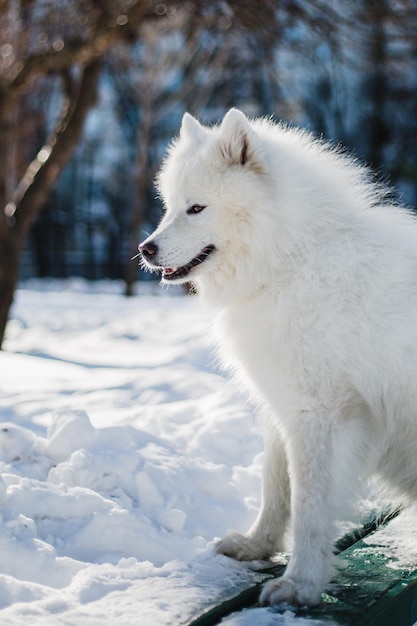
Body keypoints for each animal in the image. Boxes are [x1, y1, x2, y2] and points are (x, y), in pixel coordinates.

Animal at [138, 108, 416, 604]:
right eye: (169, 206)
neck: (291, 259)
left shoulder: (318, 414)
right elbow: (275, 489)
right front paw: (257, 546)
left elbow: (308, 505)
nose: (145, 249)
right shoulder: (280, 407)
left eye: (196, 208)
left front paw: (301, 583)